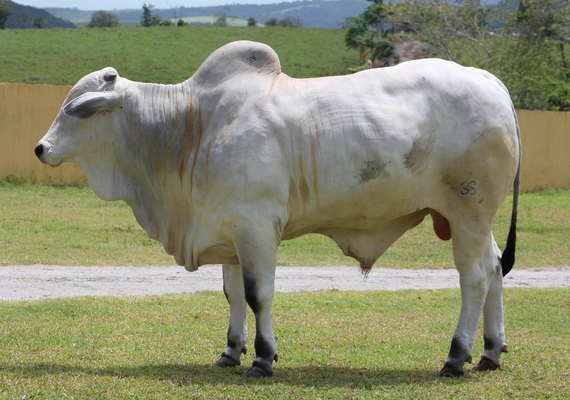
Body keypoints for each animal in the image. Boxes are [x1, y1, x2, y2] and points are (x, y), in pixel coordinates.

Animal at [33, 40, 516, 378]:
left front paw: (263, 359)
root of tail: (488, 79)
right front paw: (230, 352)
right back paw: (490, 352)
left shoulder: (256, 226)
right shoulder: (227, 229)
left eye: (76, 111)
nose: (41, 148)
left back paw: (456, 357)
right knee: (494, 267)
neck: (189, 125)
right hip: (473, 217)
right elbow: (231, 294)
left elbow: (257, 294)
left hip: (468, 209)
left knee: (474, 276)